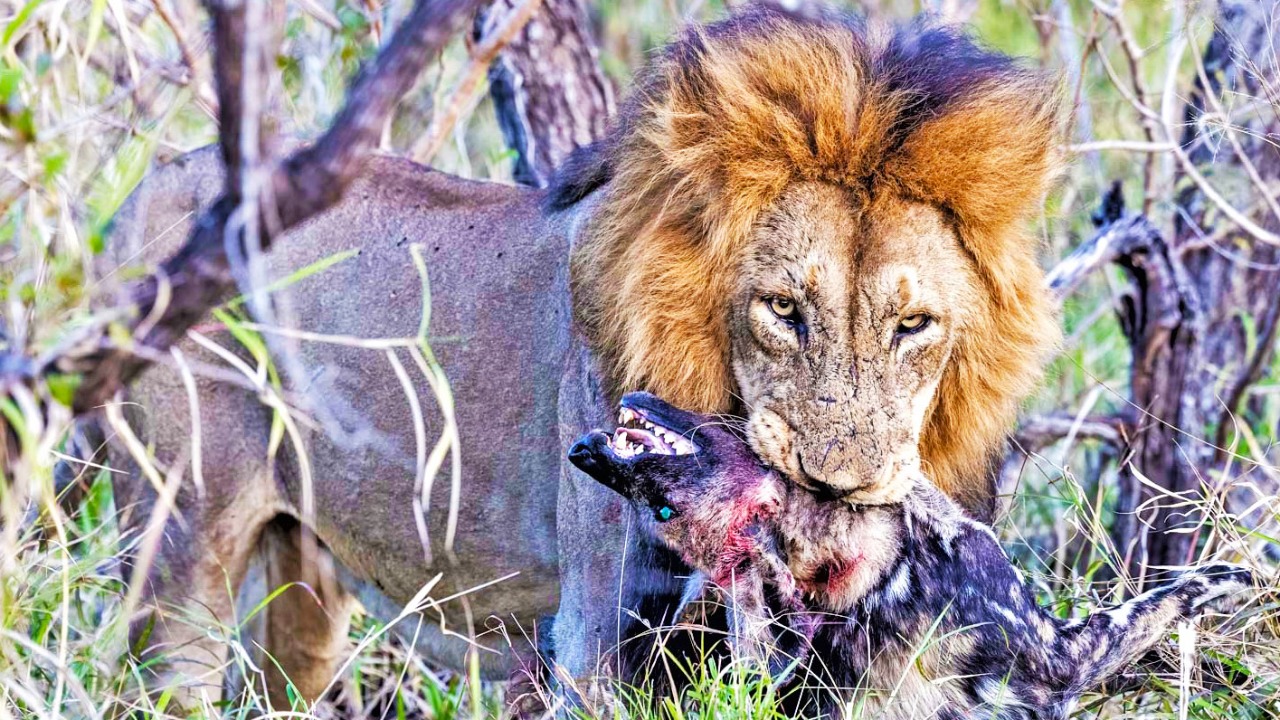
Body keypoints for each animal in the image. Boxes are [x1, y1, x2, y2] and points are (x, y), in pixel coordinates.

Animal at [92, 6, 1060, 709]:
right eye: (784, 310)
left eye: (914, 325)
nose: (838, 486)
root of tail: (149, 186)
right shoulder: (596, 642)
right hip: (185, 541)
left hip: (304, 580)